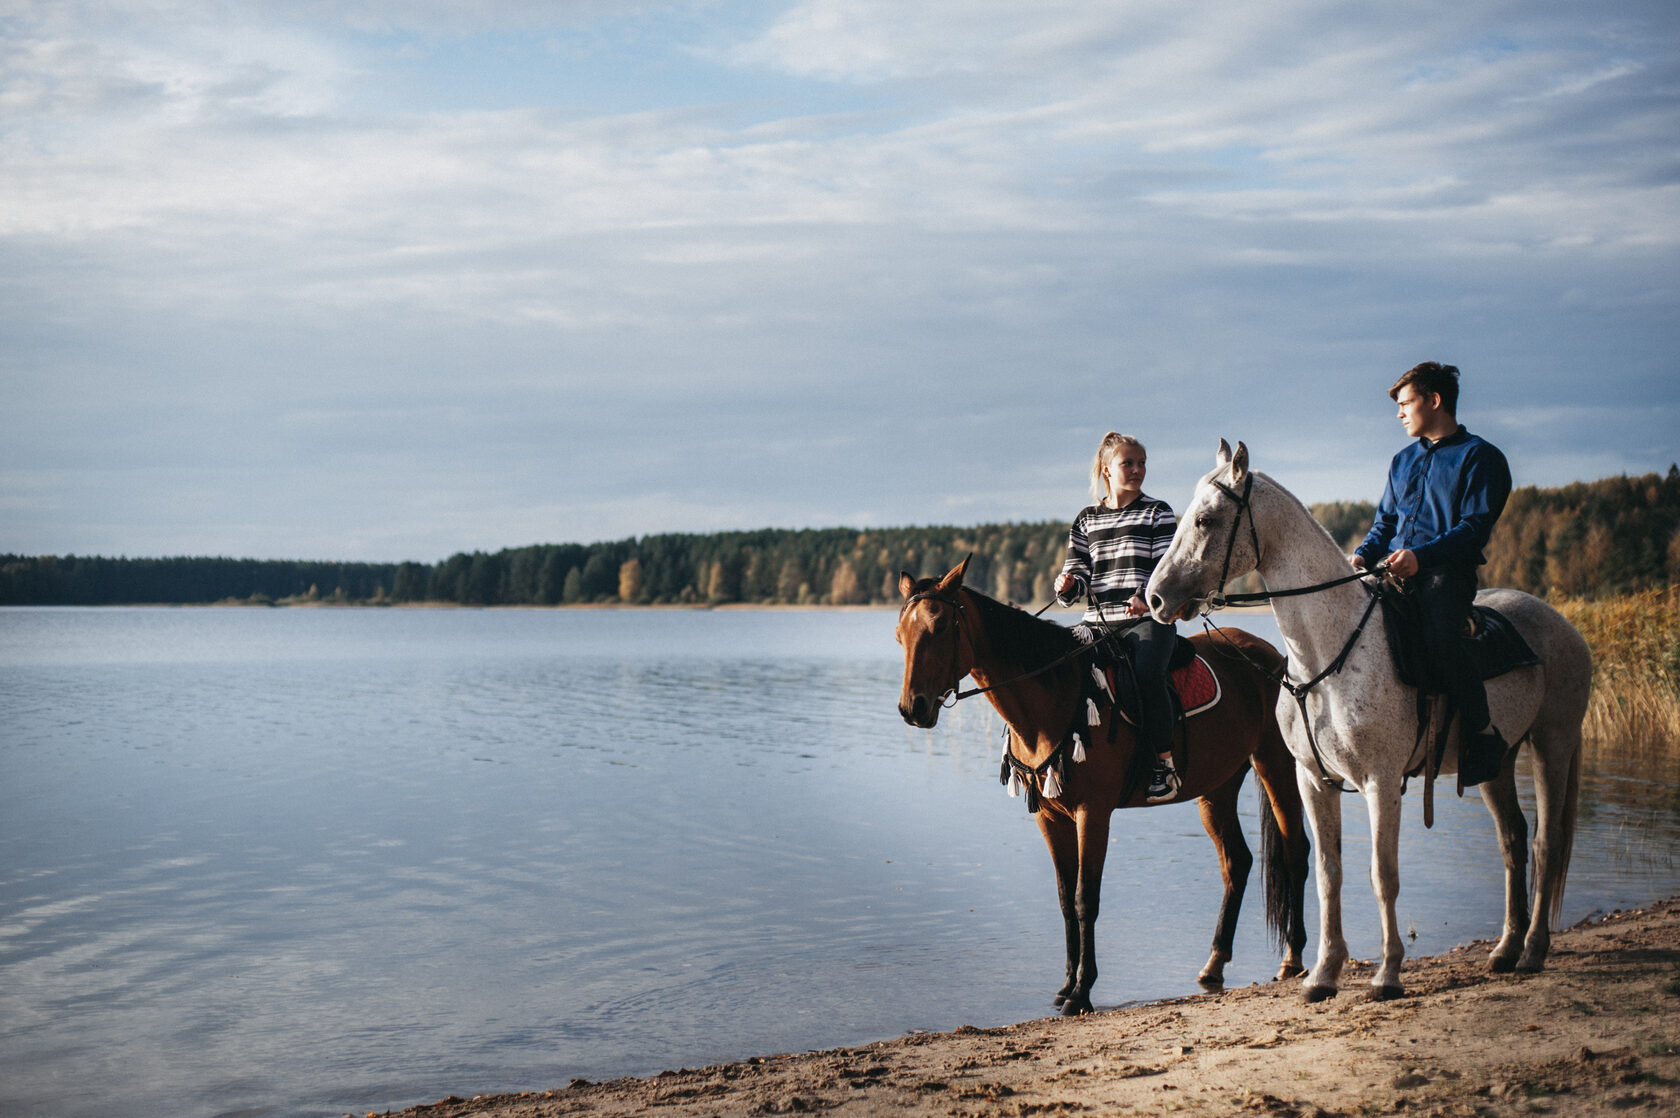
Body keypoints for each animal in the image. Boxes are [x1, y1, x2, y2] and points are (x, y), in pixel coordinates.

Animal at [893, 558, 1310, 1008]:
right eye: (900, 635)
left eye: (939, 627)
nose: (912, 708)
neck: (1056, 696)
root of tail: (1269, 655)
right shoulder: (1050, 817)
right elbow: (1064, 898)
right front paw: (1065, 984)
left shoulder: (1092, 813)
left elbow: (1084, 899)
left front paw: (1081, 991)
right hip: (1217, 787)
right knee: (1237, 862)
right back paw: (1214, 963)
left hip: (1277, 766)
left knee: (1295, 853)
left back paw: (1293, 958)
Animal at [1142, 440, 1585, 995]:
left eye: (1205, 519)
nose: (1156, 598)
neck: (1329, 655)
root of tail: (1563, 624)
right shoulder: (1314, 781)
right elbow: (1329, 873)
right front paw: (1324, 974)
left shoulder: (1381, 780)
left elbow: (1382, 874)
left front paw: (1388, 973)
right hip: (1495, 763)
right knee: (1513, 841)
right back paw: (1505, 949)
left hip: (1553, 744)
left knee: (1547, 843)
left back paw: (1532, 951)